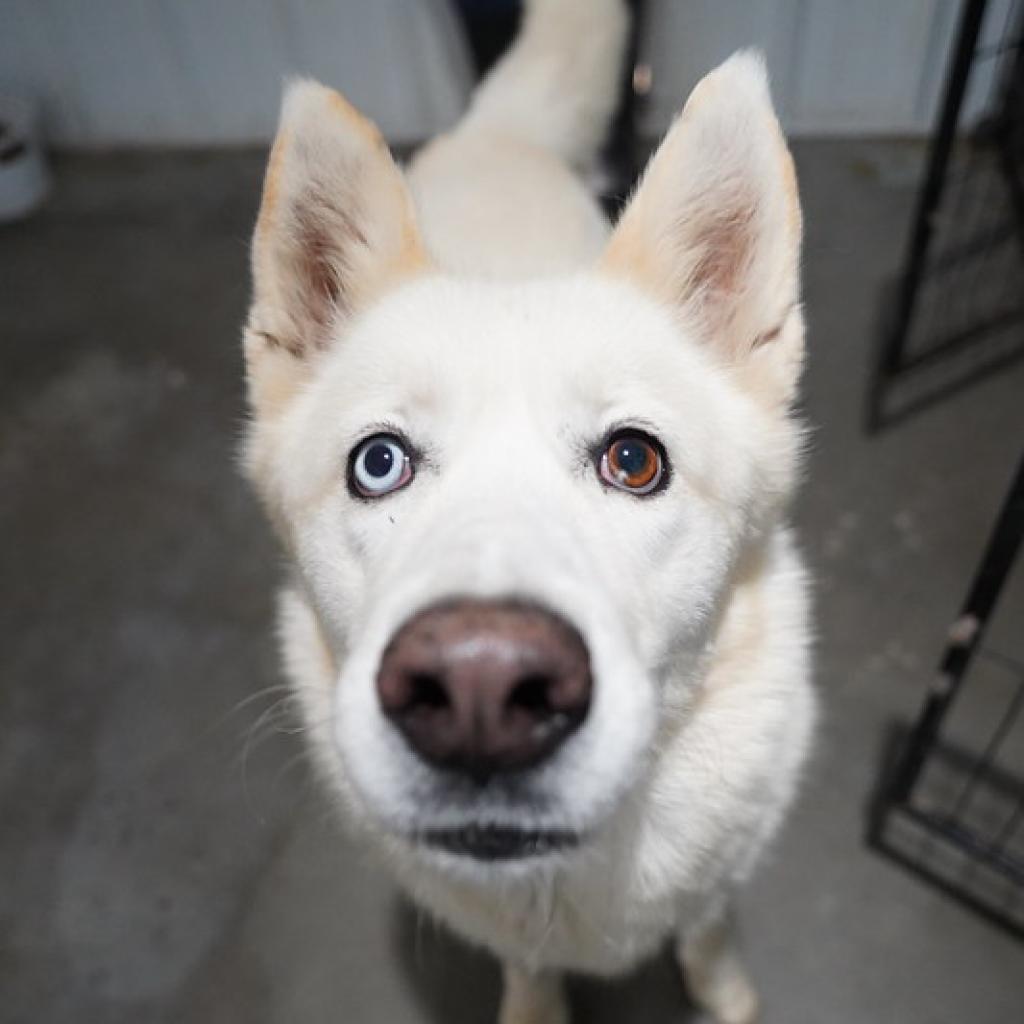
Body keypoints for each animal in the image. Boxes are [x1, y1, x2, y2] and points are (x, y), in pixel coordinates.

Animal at [239, 4, 815, 1019]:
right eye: (378, 464)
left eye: (634, 460)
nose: (480, 692)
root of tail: (496, 129)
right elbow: (529, 969)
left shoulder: (716, 880)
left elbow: (708, 937)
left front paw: (724, 992)